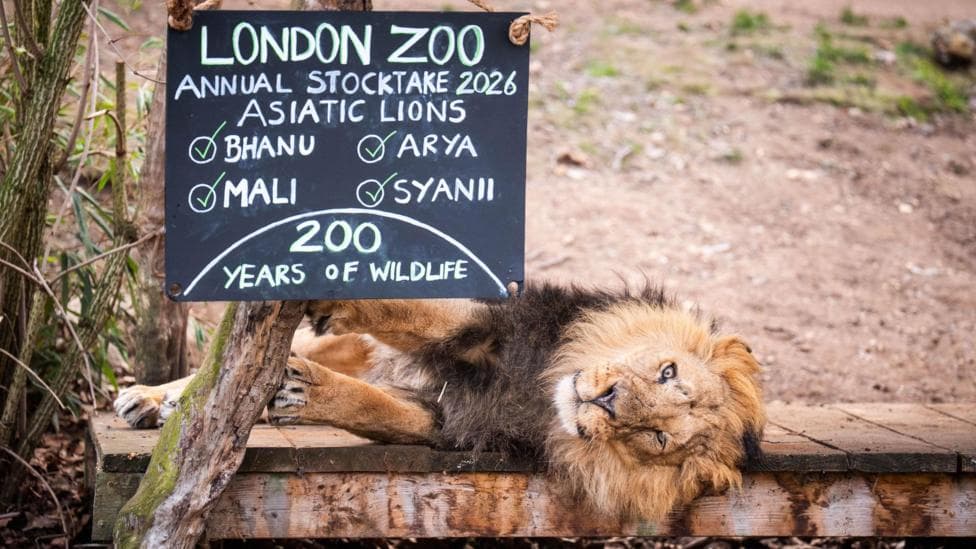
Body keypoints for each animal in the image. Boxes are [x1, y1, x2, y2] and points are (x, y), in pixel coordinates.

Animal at [114, 283, 764, 520]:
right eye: (666, 370)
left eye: (658, 438)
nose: (605, 402)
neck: (544, 391)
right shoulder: (489, 327)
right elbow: (414, 312)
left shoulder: (453, 422)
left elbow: (376, 407)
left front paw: (309, 392)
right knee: (232, 366)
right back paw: (151, 400)